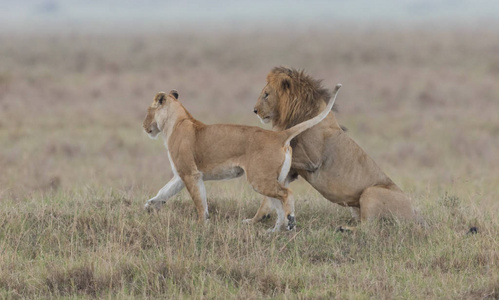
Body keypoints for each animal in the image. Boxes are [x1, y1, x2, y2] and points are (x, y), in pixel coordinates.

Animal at [143, 86, 342, 232]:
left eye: (148, 111)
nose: (144, 126)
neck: (175, 122)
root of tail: (278, 135)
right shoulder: (182, 174)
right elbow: (165, 191)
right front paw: (150, 205)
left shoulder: (190, 173)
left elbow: (199, 201)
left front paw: (201, 224)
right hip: (273, 178)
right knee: (277, 202)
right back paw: (276, 230)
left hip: (259, 178)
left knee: (287, 194)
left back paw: (290, 223)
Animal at [248, 66, 416, 225]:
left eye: (266, 94)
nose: (255, 110)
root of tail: (417, 216)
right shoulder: (292, 171)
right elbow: (268, 197)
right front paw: (255, 219)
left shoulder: (312, 162)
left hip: (370, 192)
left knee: (368, 227)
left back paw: (344, 229)